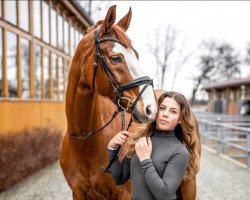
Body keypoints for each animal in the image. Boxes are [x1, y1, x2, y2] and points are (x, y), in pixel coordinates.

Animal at [61, 4, 201, 200]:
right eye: (115, 58)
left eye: (136, 55)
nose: (151, 109)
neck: (84, 142)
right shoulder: (78, 193)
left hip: (189, 184)